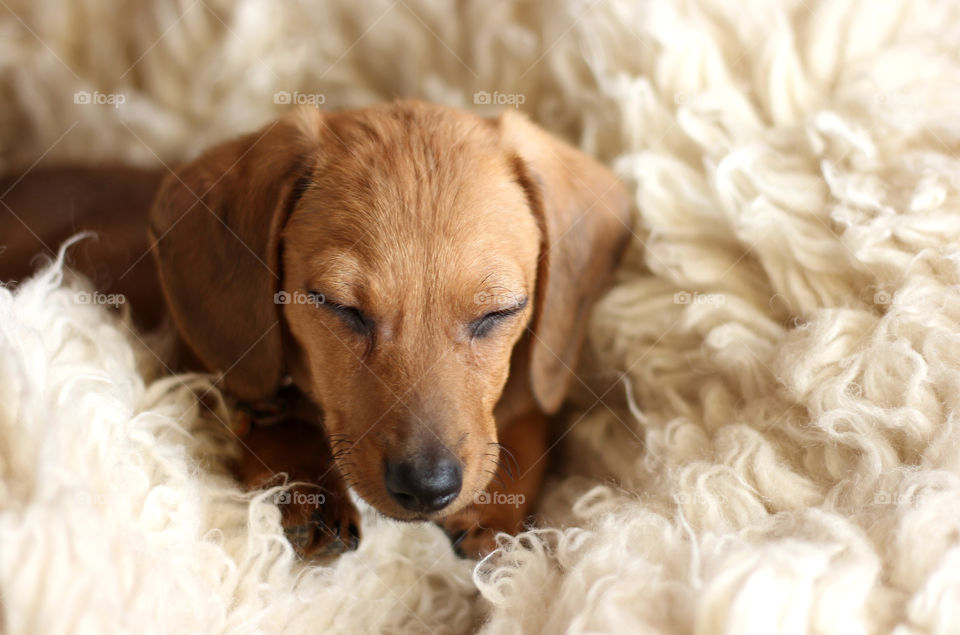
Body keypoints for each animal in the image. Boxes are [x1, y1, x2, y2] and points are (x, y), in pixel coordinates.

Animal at [0, 100, 632, 560]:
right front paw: (310, 487)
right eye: (338, 307)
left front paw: (496, 508)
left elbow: (524, 421)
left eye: (499, 312)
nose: (428, 488)